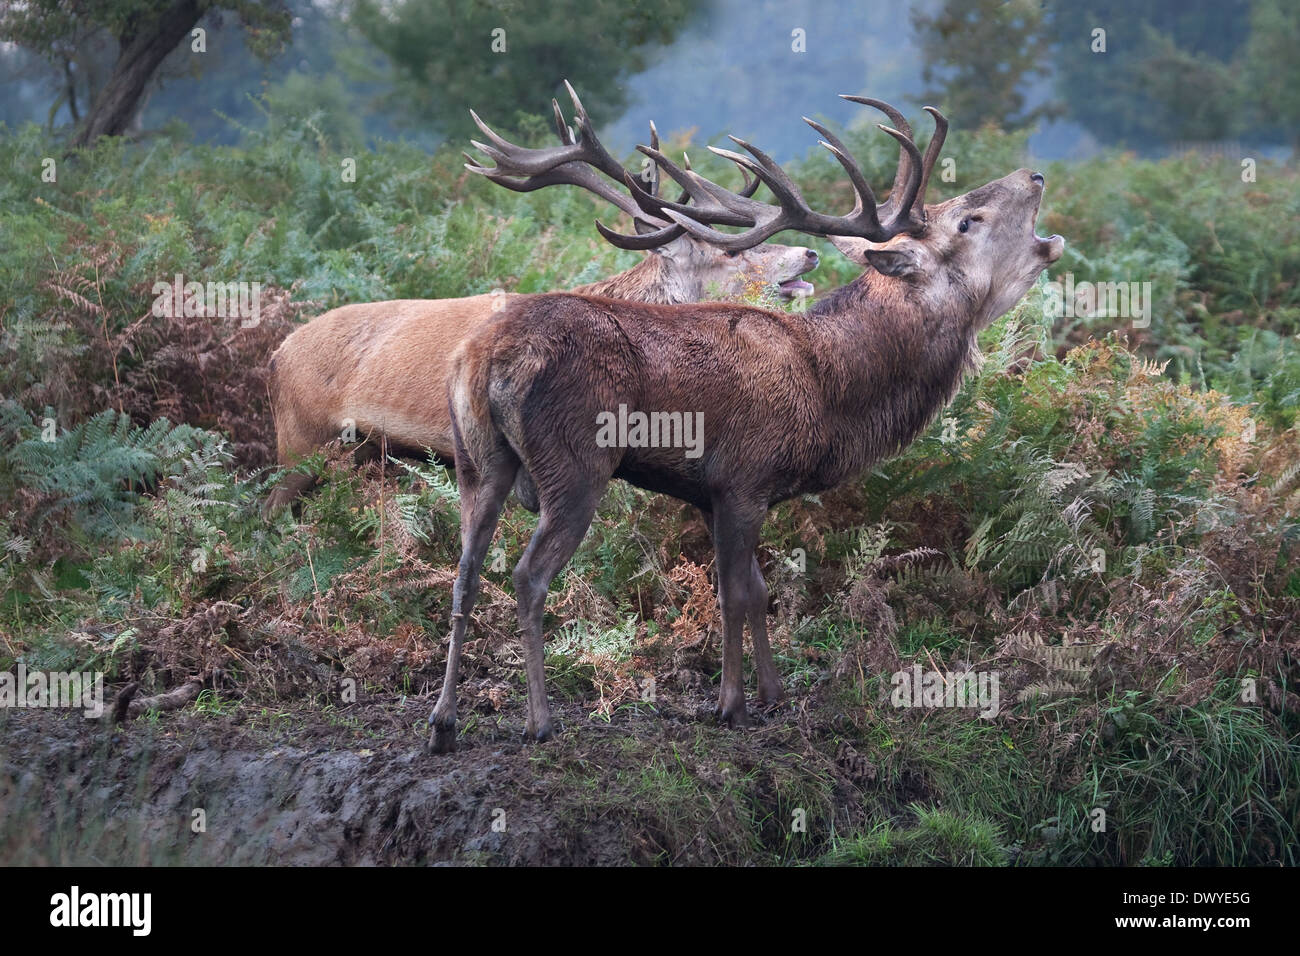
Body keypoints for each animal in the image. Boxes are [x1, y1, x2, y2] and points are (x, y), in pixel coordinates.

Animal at [427, 95, 1065, 753]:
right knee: (527, 576)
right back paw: (539, 719)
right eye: (968, 221)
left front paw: (772, 693)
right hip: (573, 466)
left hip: (476, 461)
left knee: (464, 572)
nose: (1034, 175)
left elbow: (757, 591)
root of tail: (484, 358)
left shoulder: (715, 494)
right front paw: (730, 705)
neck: (830, 391)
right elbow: (733, 593)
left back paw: (443, 722)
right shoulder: (743, 479)